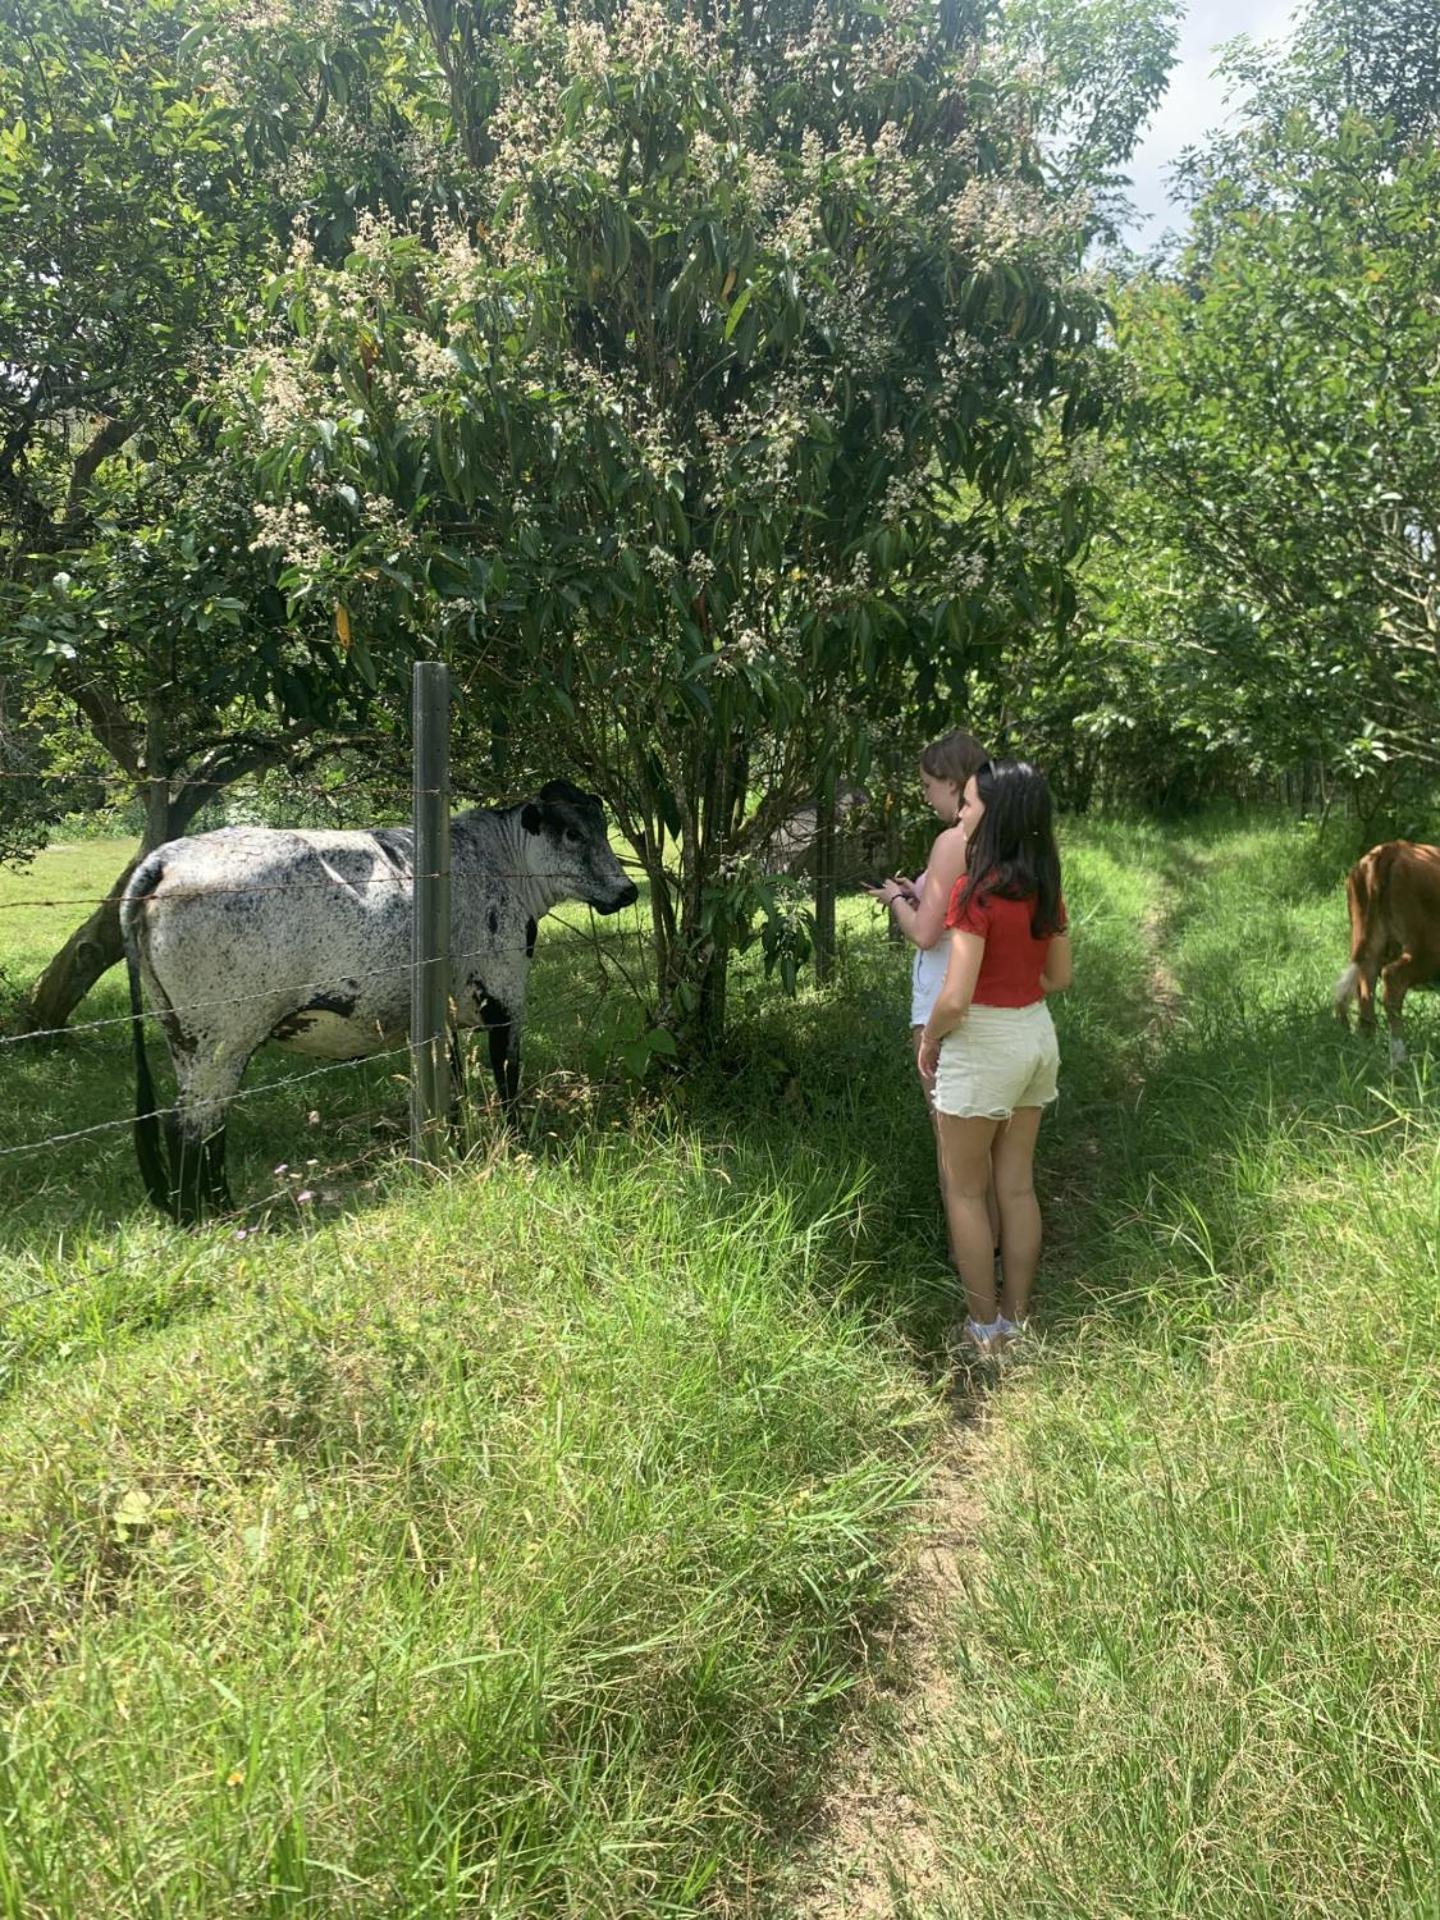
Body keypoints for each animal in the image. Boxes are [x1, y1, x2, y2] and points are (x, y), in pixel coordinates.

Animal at [112, 775, 629, 1213]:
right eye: (573, 834)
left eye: (601, 827)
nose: (627, 891)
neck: (502, 866)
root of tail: (166, 859)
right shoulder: (504, 1003)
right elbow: (507, 1085)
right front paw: (519, 1148)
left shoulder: (444, 1020)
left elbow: (453, 1093)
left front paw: (458, 1152)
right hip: (221, 1040)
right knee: (194, 1126)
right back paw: (211, 1216)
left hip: (184, 1037)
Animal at [1336, 844, 1436, 1067]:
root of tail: (1391, 848)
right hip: (1426, 952)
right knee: (1393, 979)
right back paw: (1399, 1059)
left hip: (1365, 944)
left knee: (1364, 995)